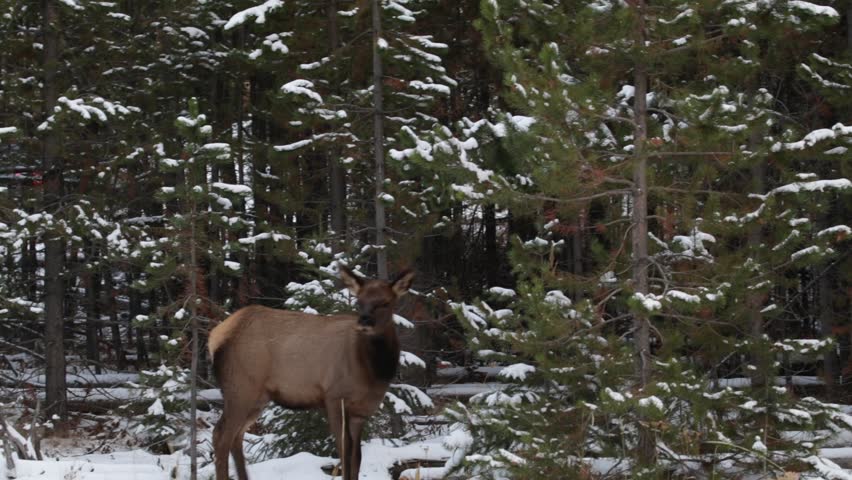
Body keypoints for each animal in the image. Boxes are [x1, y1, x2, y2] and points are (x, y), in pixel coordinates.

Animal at [208, 265, 414, 480]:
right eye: (359, 301)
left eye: (385, 302)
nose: (364, 320)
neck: (374, 372)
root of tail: (215, 337)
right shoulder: (334, 397)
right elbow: (345, 452)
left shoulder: (361, 411)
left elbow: (357, 457)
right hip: (240, 387)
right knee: (221, 434)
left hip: (258, 397)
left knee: (237, 437)